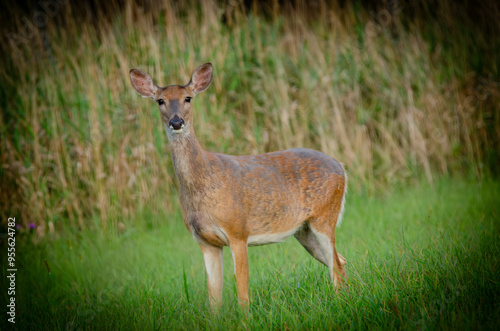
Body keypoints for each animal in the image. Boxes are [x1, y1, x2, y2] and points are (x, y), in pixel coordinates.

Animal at [130, 63, 348, 310]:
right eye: (160, 100)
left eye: (188, 98)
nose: (176, 122)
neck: (203, 183)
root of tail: (341, 167)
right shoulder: (205, 242)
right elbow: (214, 296)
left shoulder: (238, 231)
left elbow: (242, 289)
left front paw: (246, 315)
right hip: (303, 230)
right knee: (340, 261)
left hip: (324, 216)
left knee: (336, 266)